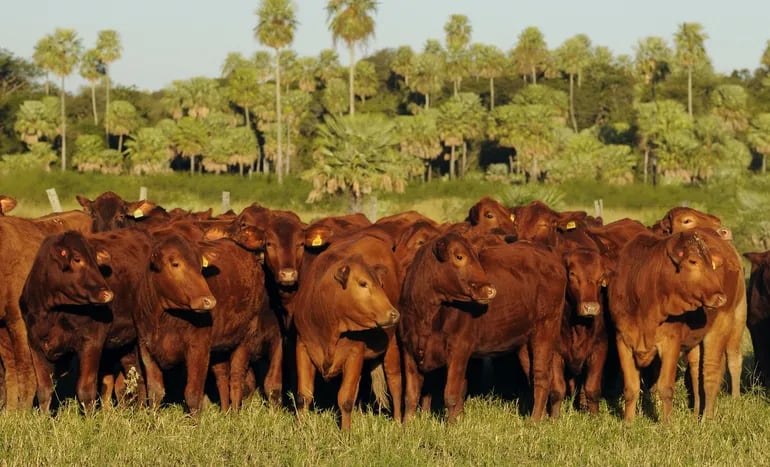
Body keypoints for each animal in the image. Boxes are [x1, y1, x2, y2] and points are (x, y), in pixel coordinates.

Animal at [21, 232, 113, 412]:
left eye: (95, 260)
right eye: (77, 259)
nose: (108, 294)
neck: (50, 312)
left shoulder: (93, 340)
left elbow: (86, 390)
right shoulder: (34, 343)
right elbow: (44, 390)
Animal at [292, 234, 402, 432]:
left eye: (381, 284)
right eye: (363, 283)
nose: (394, 314)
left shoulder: (354, 353)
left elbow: (346, 399)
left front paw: (345, 433)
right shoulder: (303, 345)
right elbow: (303, 395)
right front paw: (299, 428)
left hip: (391, 343)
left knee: (395, 379)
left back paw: (397, 423)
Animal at [400, 234, 560, 424]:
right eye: (459, 256)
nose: (490, 290)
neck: (426, 315)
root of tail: (546, 250)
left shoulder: (459, 348)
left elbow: (451, 395)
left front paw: (451, 426)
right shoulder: (409, 348)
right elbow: (411, 396)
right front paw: (406, 425)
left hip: (546, 328)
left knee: (542, 375)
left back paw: (534, 422)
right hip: (523, 339)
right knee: (534, 375)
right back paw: (543, 417)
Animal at [608, 229, 728, 422]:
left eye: (711, 262)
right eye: (693, 261)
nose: (720, 298)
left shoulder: (671, 342)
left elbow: (665, 388)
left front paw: (667, 424)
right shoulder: (622, 340)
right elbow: (631, 388)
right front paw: (628, 423)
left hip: (719, 333)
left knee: (711, 375)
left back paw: (707, 419)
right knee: (696, 373)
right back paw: (696, 415)